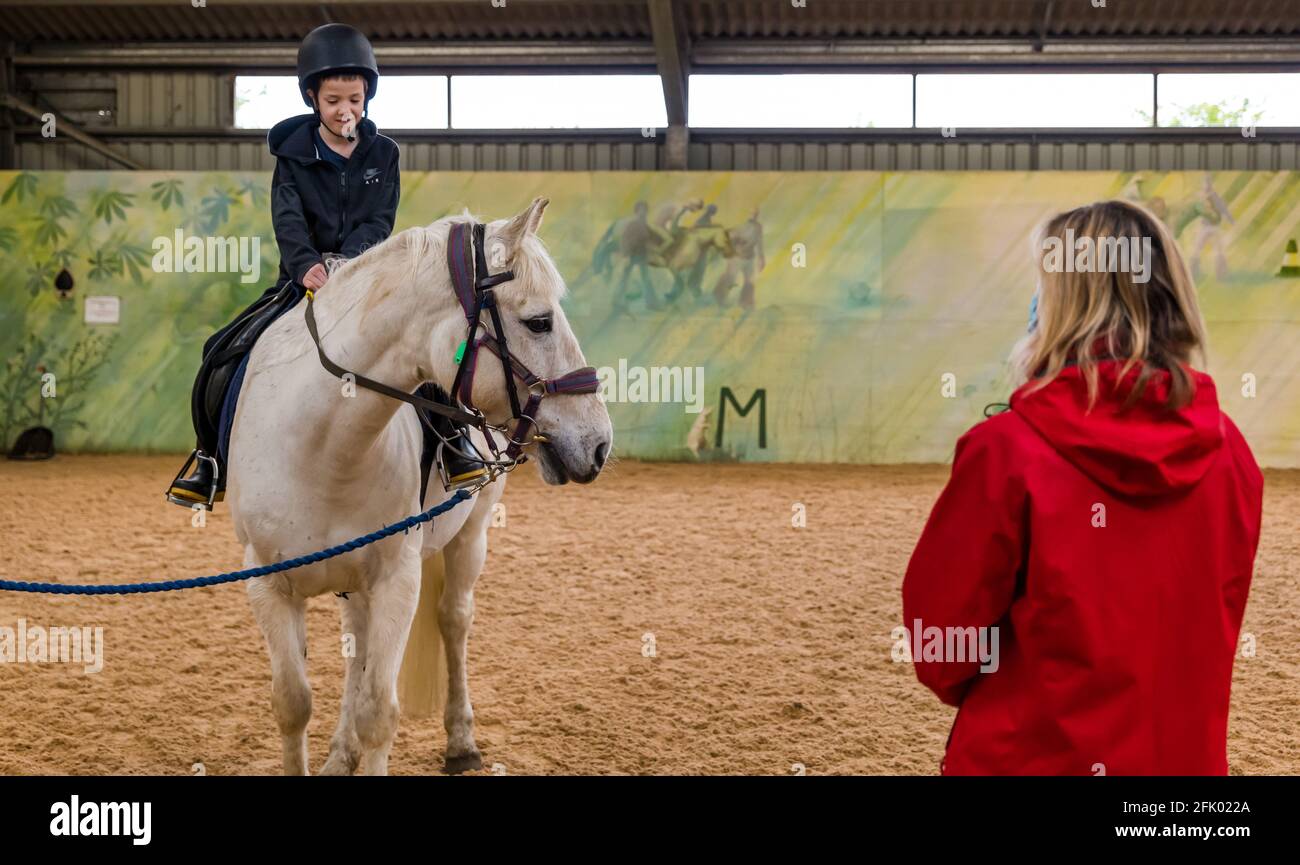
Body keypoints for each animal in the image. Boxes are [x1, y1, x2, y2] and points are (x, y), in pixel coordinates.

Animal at [227, 199, 608, 770]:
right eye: (539, 322)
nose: (600, 443)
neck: (322, 448)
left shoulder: (396, 580)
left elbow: (379, 712)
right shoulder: (268, 586)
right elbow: (293, 703)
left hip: (471, 535)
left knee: (454, 619)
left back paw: (461, 742)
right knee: (356, 646)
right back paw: (340, 755)